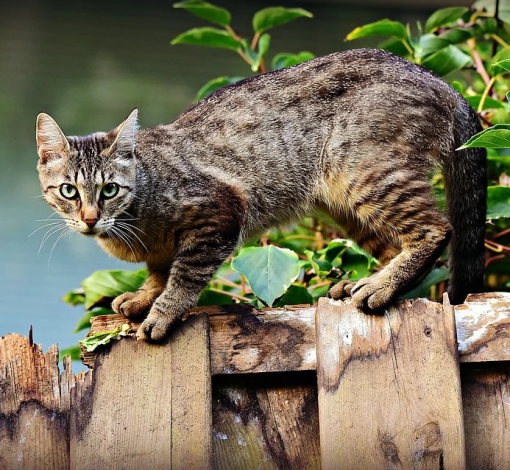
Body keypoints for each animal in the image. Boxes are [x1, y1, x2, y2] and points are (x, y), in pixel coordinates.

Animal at [35, 48, 486, 342]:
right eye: (69, 191)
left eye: (109, 190)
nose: (90, 218)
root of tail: (442, 83)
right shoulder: (162, 249)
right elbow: (159, 271)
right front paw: (146, 297)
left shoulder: (220, 213)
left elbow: (183, 275)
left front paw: (163, 311)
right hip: (344, 203)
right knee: (395, 245)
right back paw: (367, 282)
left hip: (366, 174)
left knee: (436, 230)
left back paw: (380, 286)